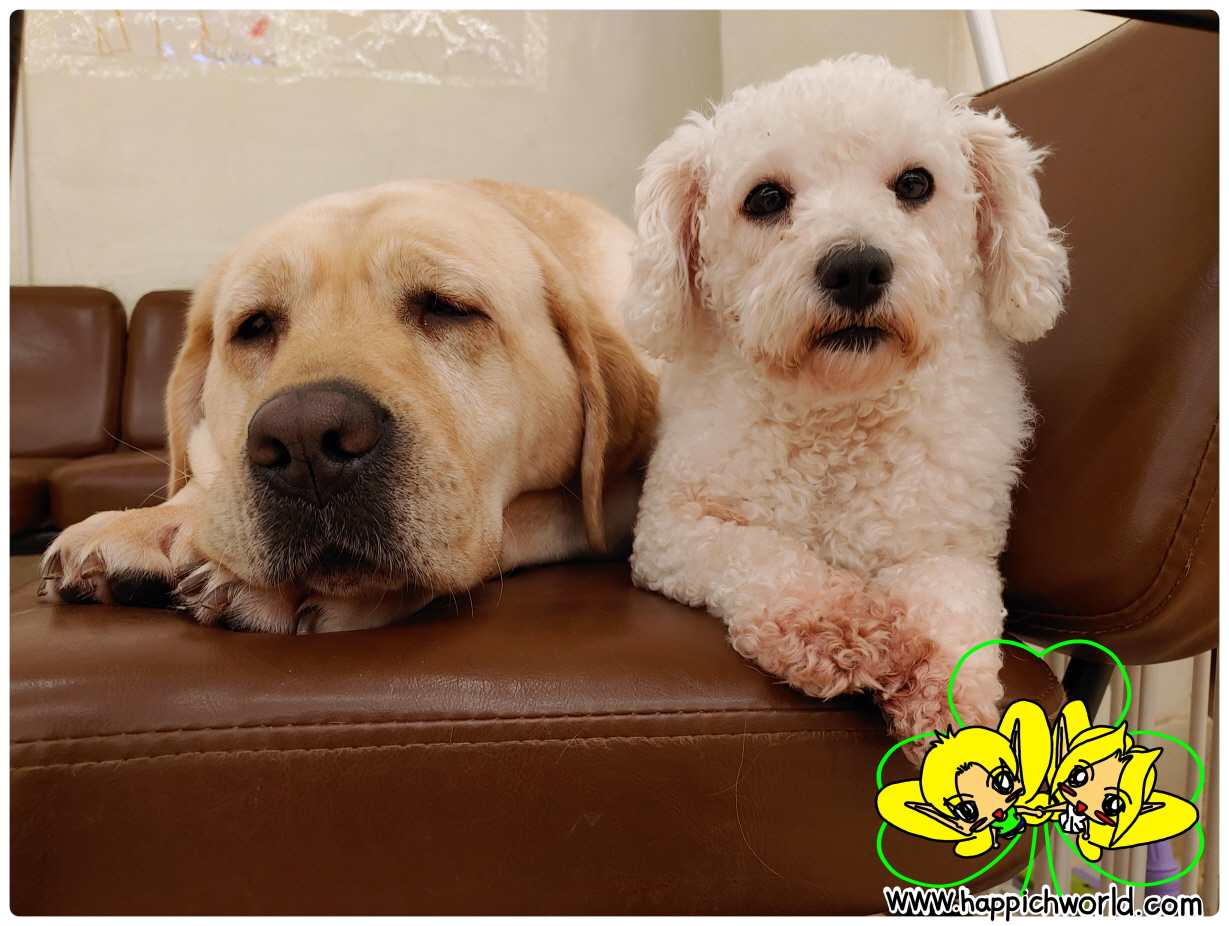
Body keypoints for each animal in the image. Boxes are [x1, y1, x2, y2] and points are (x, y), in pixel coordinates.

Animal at [40, 179, 658, 633]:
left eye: (448, 307)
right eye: (254, 326)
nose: (305, 441)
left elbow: (538, 514)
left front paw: (280, 586)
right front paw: (161, 523)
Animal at [619, 56, 1068, 756]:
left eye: (915, 183)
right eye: (766, 198)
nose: (856, 268)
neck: (840, 417)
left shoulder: (953, 549)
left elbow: (955, 618)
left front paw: (944, 712)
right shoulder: (673, 532)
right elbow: (766, 559)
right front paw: (842, 630)